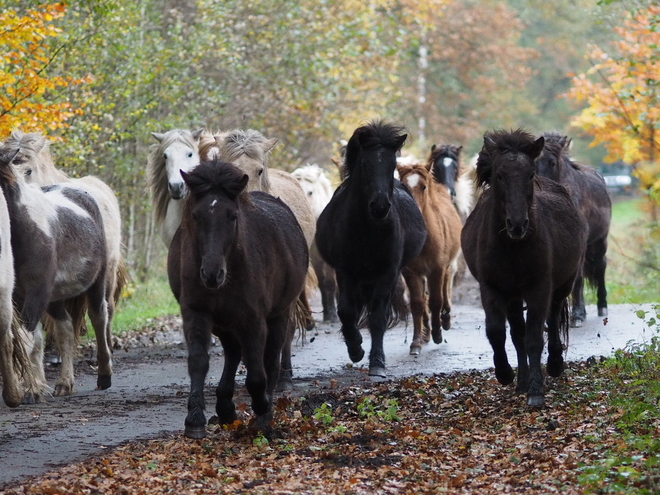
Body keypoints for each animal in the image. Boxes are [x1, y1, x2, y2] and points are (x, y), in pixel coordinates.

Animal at [168, 160, 306, 438]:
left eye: (232, 216)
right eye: (196, 216)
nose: (211, 274)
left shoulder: (253, 320)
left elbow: (257, 372)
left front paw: (263, 410)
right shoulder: (196, 312)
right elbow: (199, 362)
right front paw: (195, 420)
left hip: (278, 313)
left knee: (270, 359)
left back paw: (262, 409)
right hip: (224, 321)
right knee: (233, 353)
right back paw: (225, 408)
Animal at [316, 122, 428, 378]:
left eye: (392, 164)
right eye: (365, 164)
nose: (380, 206)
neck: (367, 228)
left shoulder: (387, 272)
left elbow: (378, 317)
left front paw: (377, 362)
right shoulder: (345, 271)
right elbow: (347, 311)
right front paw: (355, 348)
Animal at [400, 161, 462, 354]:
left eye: (424, 186)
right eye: (403, 186)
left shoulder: (437, 268)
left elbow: (436, 301)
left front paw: (437, 334)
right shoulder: (411, 272)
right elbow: (418, 304)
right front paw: (416, 342)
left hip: (446, 266)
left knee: (445, 289)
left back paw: (445, 320)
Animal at [458, 130, 588, 408]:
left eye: (529, 175)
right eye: (499, 175)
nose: (517, 225)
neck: (512, 248)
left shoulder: (539, 289)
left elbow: (535, 337)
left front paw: (536, 390)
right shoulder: (492, 289)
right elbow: (498, 332)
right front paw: (506, 374)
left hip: (561, 286)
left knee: (552, 320)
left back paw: (554, 365)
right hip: (514, 297)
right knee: (517, 333)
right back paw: (521, 381)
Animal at [532, 131, 612, 330]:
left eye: (552, 162)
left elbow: (577, 280)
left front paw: (577, 316)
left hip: (600, 241)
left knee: (601, 267)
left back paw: (602, 307)